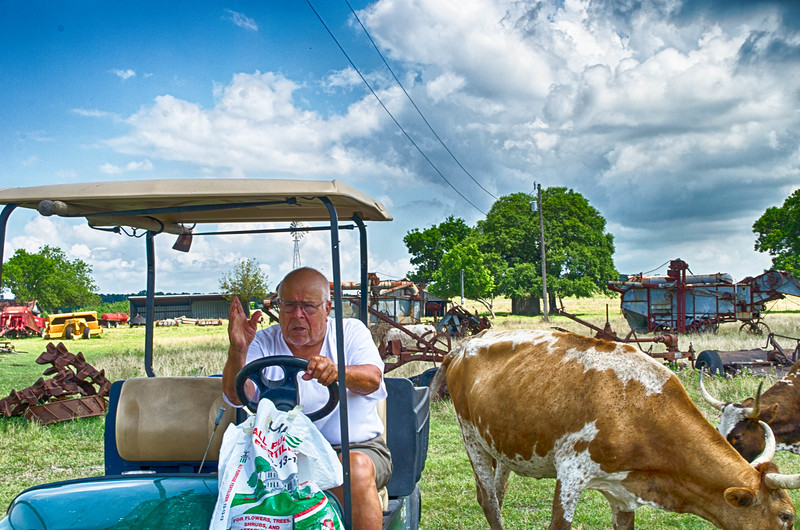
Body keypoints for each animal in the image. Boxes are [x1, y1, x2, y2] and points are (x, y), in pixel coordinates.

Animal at [432, 328, 800, 524]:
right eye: (786, 516)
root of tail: (465, 344)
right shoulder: (570, 478)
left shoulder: (624, 493)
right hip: (472, 440)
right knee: (489, 502)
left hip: (501, 443)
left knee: (498, 493)